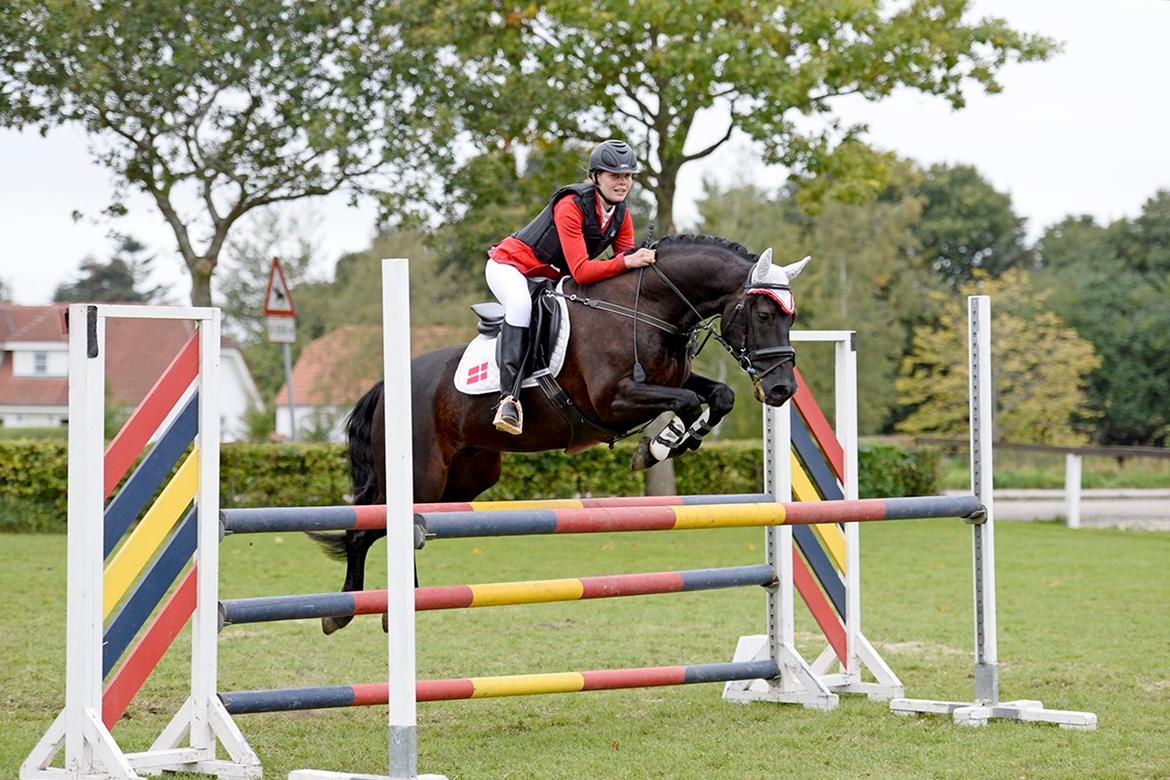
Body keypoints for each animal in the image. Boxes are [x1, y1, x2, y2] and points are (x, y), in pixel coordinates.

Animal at [306, 236, 809, 636]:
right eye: (764, 313)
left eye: (790, 317)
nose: (782, 390)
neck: (645, 308)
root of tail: (386, 385)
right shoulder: (613, 401)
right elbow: (684, 403)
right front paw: (655, 448)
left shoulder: (674, 381)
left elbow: (719, 395)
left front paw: (679, 441)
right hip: (421, 477)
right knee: (366, 529)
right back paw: (344, 612)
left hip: (465, 480)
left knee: (391, 528)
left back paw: (393, 606)